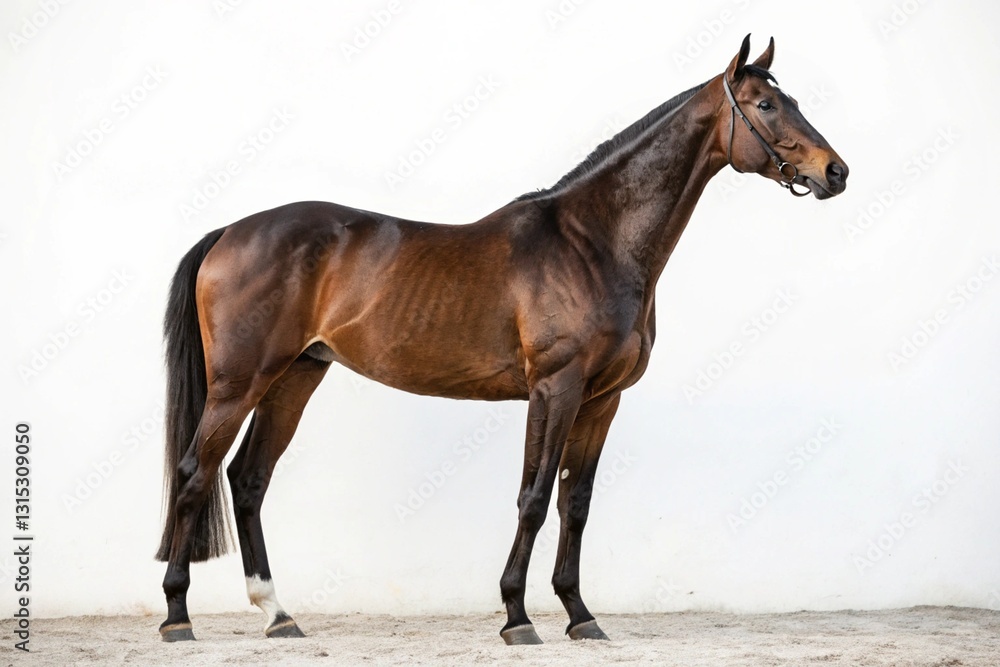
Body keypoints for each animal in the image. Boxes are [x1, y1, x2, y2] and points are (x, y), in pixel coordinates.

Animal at [156, 35, 848, 645]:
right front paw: (517, 616)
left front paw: (580, 616)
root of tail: (229, 232)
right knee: (195, 472)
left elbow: (576, 504)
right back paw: (177, 617)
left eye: (791, 99)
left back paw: (278, 615)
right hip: (240, 382)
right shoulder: (555, 389)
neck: (592, 243)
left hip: (297, 375)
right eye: (765, 104)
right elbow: (535, 499)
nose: (835, 171)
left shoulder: (602, 401)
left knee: (248, 479)